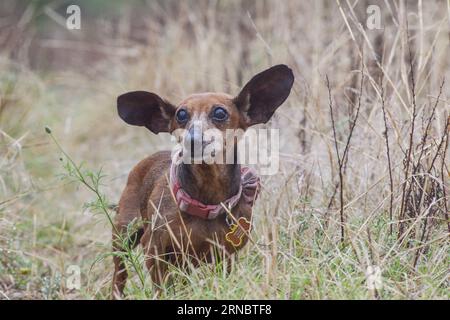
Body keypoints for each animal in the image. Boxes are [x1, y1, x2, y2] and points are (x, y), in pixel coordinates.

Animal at [112, 64, 294, 298]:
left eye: (219, 112)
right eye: (181, 114)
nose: (193, 140)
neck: (206, 200)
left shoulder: (226, 257)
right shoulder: (154, 249)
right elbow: (161, 289)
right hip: (124, 235)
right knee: (119, 274)